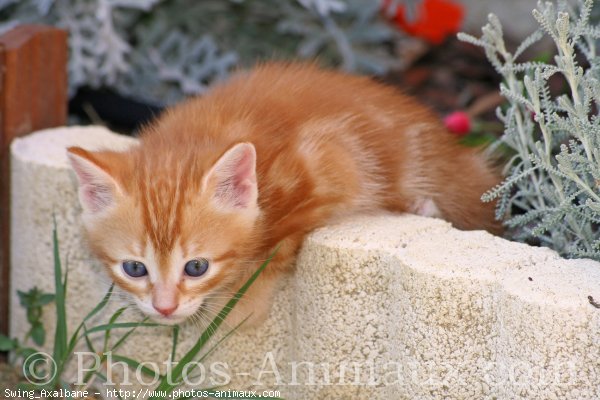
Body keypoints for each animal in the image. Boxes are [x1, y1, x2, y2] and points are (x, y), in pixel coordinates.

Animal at [68, 61, 502, 324]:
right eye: (134, 268)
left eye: (196, 268)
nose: (164, 308)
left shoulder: (330, 163)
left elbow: (278, 246)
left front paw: (242, 305)